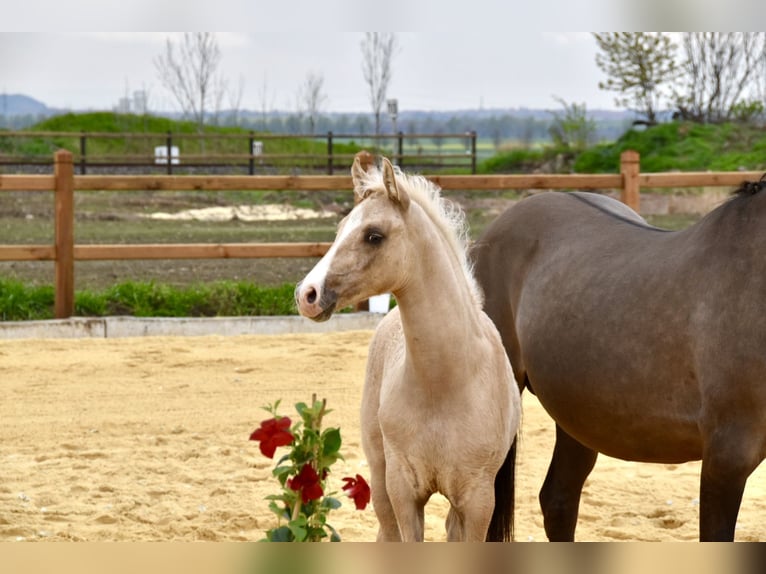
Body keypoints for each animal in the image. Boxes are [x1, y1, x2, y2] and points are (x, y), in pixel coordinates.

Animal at [294, 155, 520, 544]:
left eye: (374, 235)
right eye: (341, 228)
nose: (307, 294)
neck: (444, 384)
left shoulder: (478, 502)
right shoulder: (404, 492)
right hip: (380, 474)